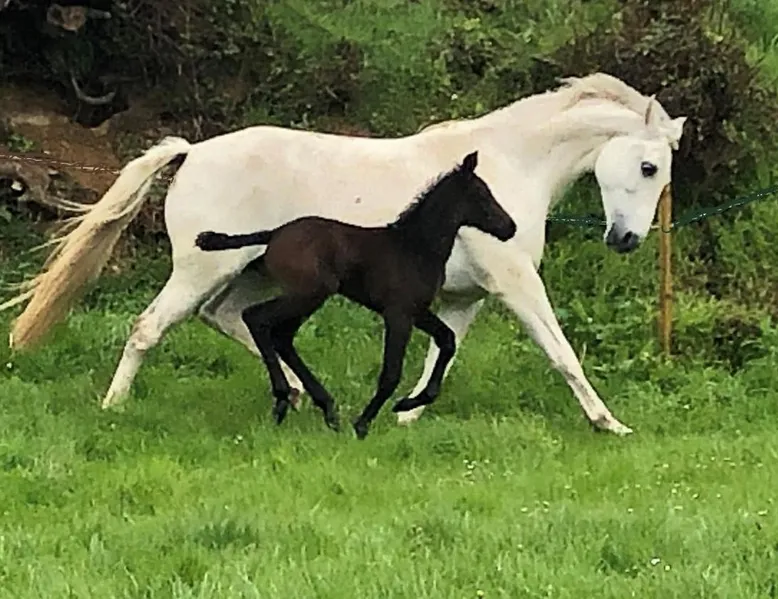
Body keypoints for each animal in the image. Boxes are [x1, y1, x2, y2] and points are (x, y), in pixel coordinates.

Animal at [194, 150, 516, 439]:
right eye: (482, 195)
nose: (509, 228)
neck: (415, 247)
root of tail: (273, 234)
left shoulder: (417, 310)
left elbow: (447, 340)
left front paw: (409, 403)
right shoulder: (398, 313)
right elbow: (391, 374)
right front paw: (363, 424)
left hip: (307, 298)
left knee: (282, 336)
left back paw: (326, 409)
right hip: (309, 294)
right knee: (256, 318)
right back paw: (286, 399)